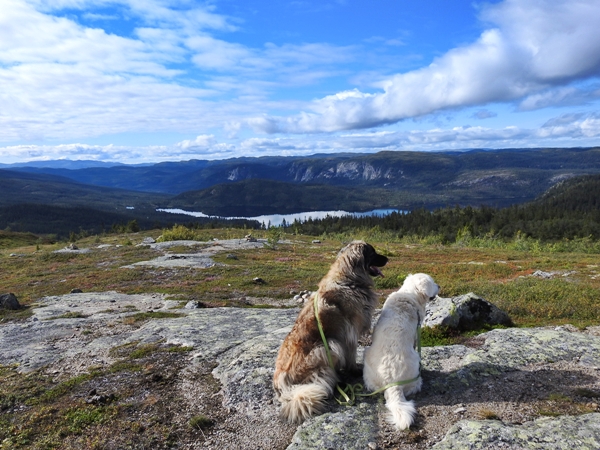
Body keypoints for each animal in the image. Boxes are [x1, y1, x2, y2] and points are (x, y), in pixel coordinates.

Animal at [274, 241, 386, 424]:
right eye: (373, 253)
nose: (388, 259)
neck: (349, 281)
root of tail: (281, 380)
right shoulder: (350, 333)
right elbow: (351, 354)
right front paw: (354, 370)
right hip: (329, 346)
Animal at [360, 272, 440, 430]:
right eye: (433, 282)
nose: (439, 286)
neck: (409, 295)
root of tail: (393, 383)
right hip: (416, 365)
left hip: (367, 354)